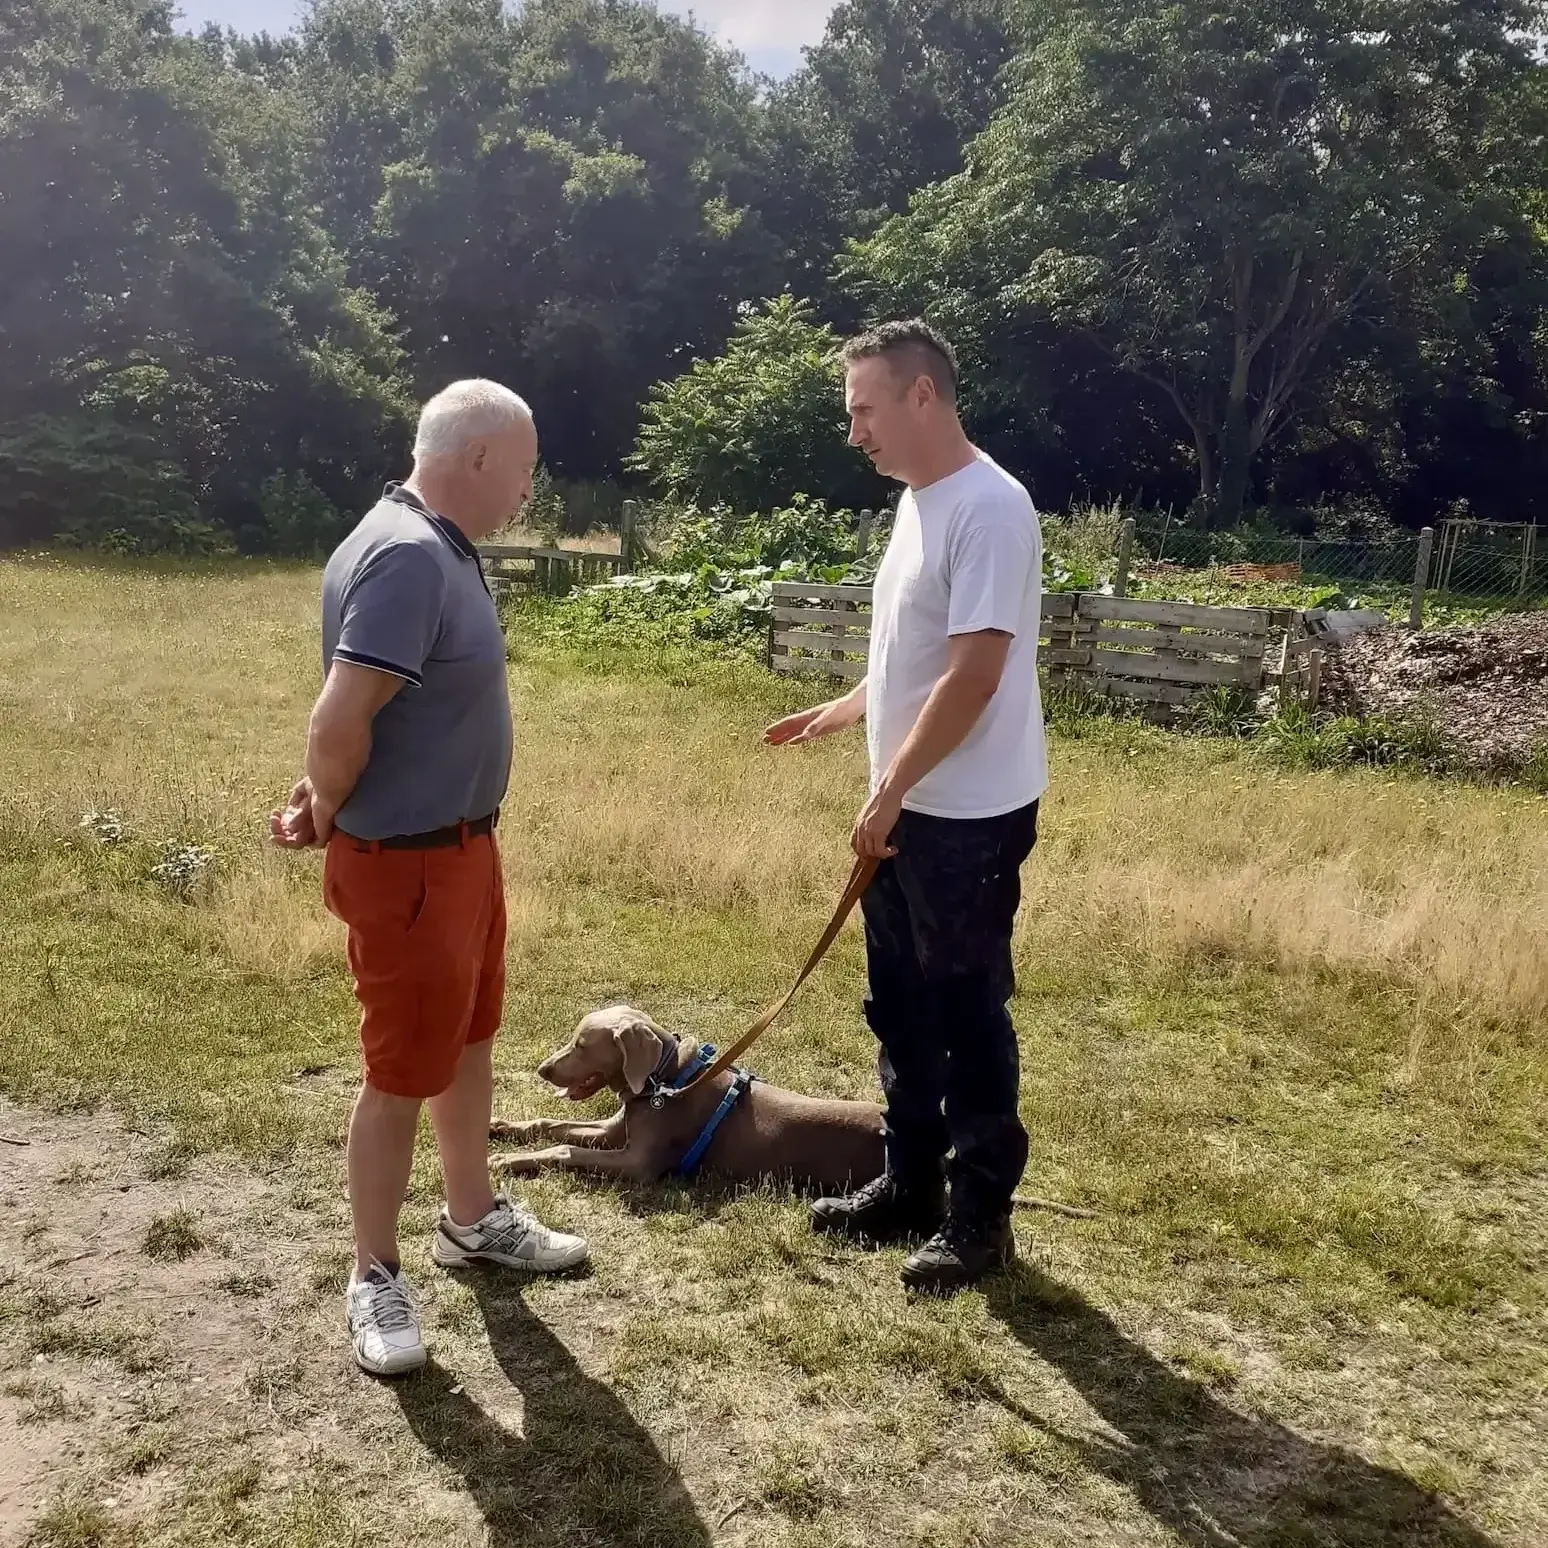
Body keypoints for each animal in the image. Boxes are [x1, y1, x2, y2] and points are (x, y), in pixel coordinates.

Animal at [489, 1003, 891, 1195]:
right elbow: (550, 1124)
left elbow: (565, 1150)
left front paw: (505, 1160)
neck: (664, 1080)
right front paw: (500, 1127)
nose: (543, 1069)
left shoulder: (639, 1163)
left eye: (583, 1045)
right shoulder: (612, 1131)